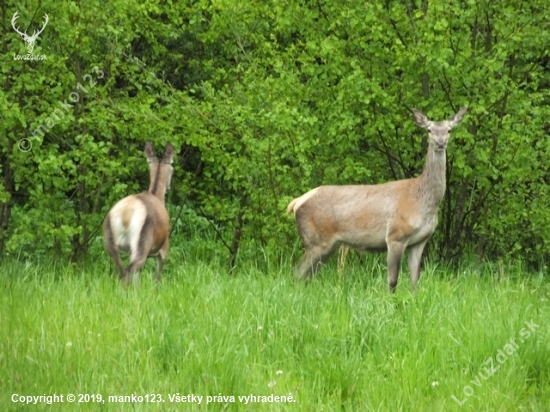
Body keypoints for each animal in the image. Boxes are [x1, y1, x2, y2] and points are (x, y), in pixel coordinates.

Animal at [102, 141, 175, 284]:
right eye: (172, 167)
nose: (169, 187)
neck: (157, 196)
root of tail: (125, 213)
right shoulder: (164, 248)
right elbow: (158, 277)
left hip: (110, 239)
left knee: (122, 270)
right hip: (143, 240)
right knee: (129, 270)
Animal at [286, 106, 468, 292]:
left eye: (449, 130)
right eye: (429, 130)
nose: (440, 143)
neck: (423, 202)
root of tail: (296, 202)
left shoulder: (419, 241)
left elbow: (415, 281)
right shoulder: (395, 235)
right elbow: (392, 281)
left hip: (327, 245)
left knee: (306, 275)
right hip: (316, 240)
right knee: (297, 273)